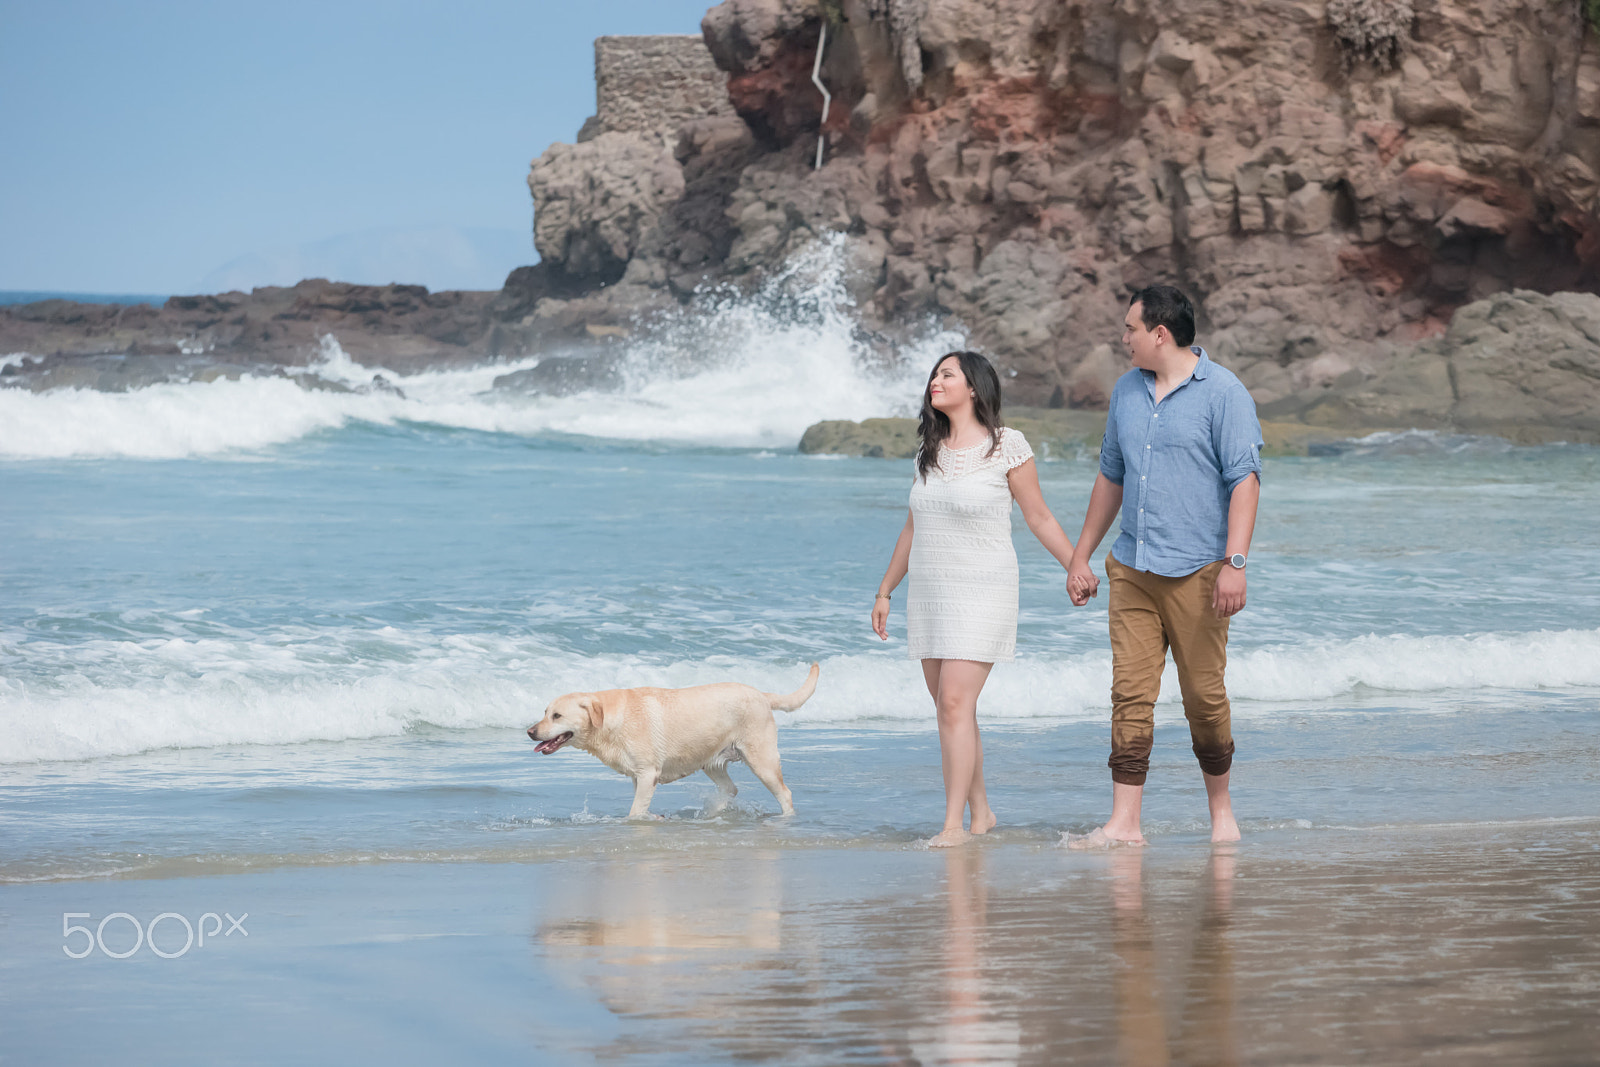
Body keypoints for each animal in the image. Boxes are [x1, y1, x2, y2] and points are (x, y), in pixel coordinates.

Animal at [528, 662, 819, 825]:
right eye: (544, 712)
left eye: (557, 716)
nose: (530, 732)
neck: (611, 721)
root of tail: (761, 694)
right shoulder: (637, 777)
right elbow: (640, 806)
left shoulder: (648, 774)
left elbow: (635, 811)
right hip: (710, 761)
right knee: (731, 789)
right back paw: (711, 814)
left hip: (762, 760)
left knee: (784, 793)